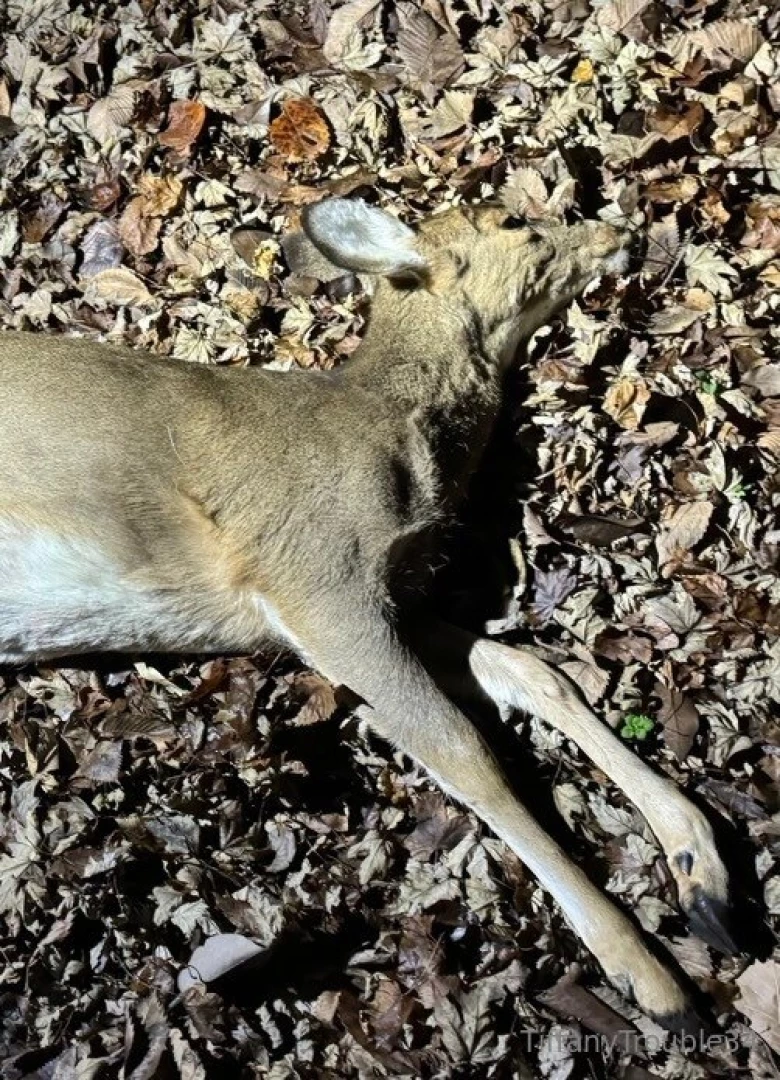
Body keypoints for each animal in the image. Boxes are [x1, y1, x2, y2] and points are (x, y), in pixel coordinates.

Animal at [0, 197, 735, 1031]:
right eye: (514, 223)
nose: (622, 231)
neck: (396, 433)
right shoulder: (317, 576)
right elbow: (461, 749)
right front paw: (649, 975)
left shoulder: (394, 599)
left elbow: (537, 673)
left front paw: (701, 871)